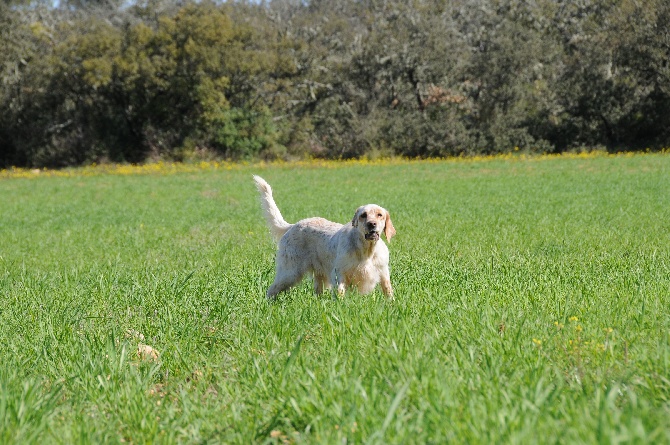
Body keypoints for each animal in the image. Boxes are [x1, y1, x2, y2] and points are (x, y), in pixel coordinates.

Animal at [255, 175, 396, 300]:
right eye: (363, 215)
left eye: (380, 215)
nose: (372, 224)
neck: (366, 251)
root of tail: (292, 226)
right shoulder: (339, 272)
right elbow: (340, 293)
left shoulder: (383, 272)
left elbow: (388, 290)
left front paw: (391, 304)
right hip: (289, 272)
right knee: (272, 289)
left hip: (317, 275)